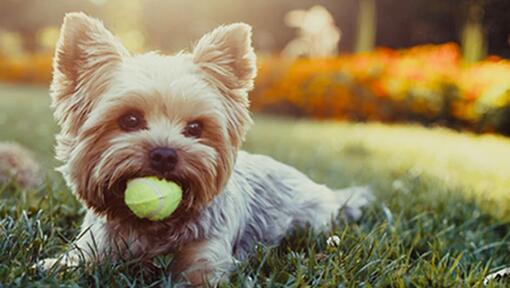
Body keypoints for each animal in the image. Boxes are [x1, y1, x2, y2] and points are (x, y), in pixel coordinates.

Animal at [38, 12, 370, 286]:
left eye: (195, 128)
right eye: (129, 119)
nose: (165, 154)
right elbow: (72, 262)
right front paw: (53, 265)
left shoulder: (205, 259)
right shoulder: (95, 244)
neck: (150, 228)